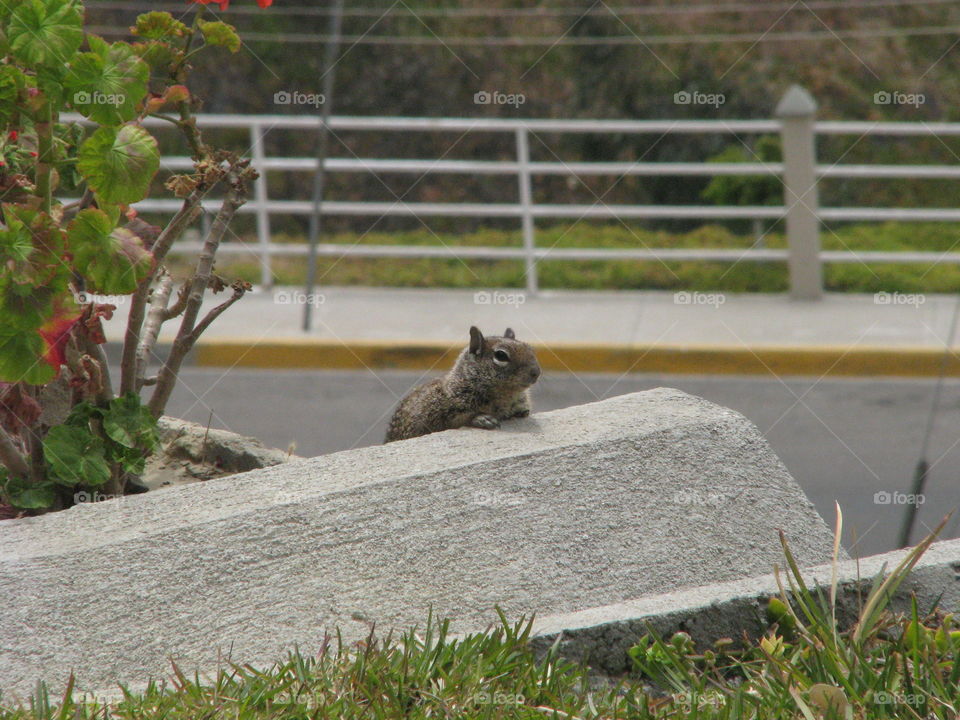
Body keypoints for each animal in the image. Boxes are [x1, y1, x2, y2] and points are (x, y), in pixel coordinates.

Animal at [384, 326, 541, 443]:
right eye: (501, 355)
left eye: (530, 348)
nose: (536, 372)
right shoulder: (439, 413)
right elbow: (457, 421)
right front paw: (482, 418)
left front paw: (521, 412)